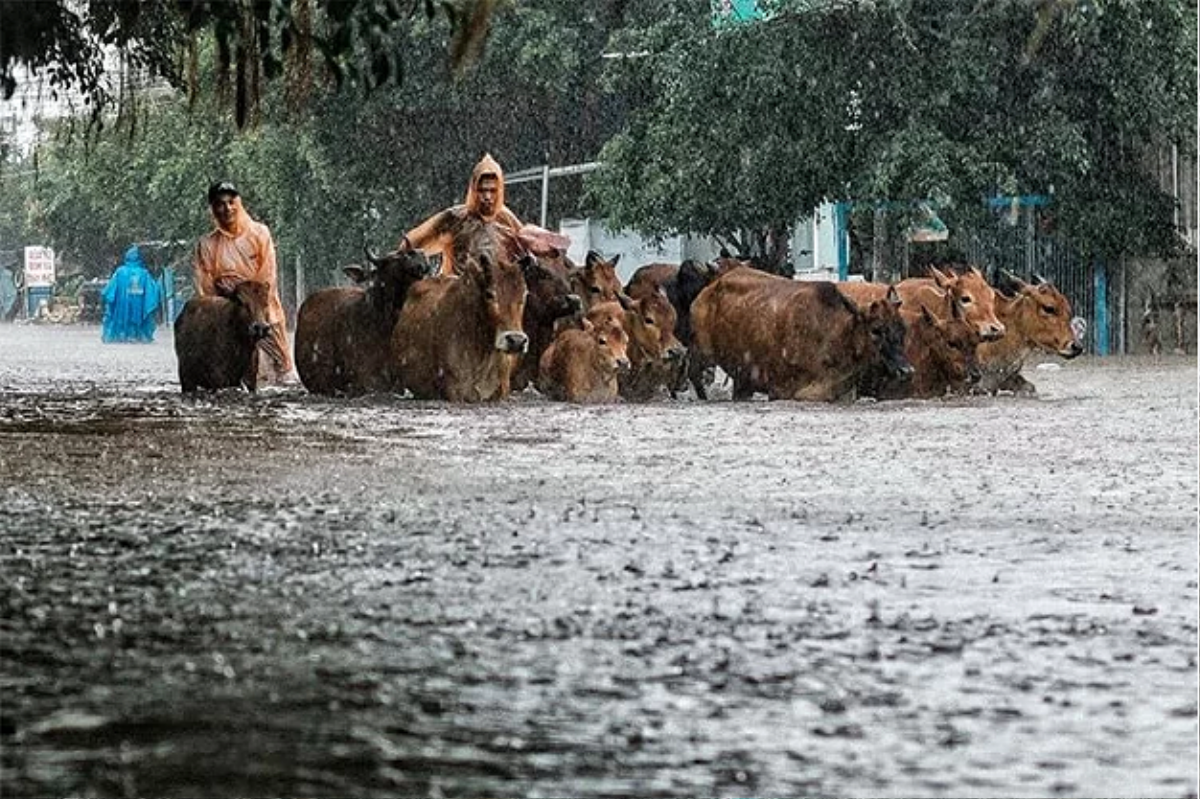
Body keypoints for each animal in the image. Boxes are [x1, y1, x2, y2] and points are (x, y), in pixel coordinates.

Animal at [691, 267, 912, 400]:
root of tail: (708, 290)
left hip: (742, 377)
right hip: (702, 354)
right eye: (876, 330)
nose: (906, 371)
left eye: (902, 328)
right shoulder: (782, 389)